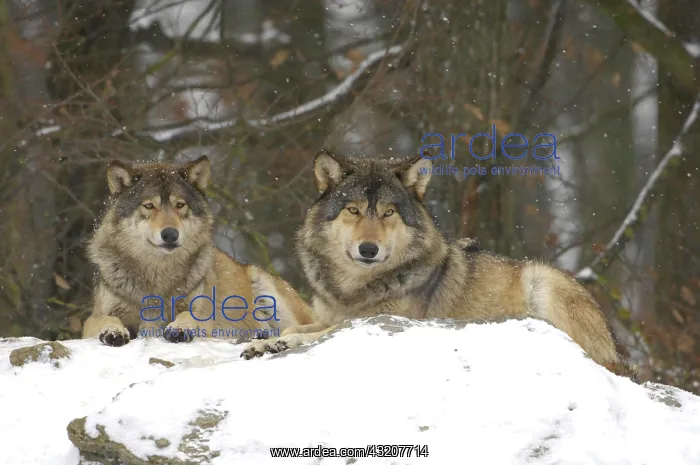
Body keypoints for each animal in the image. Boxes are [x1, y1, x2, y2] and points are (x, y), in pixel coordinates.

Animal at [83, 155, 313, 346]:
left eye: (180, 205)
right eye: (149, 206)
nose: (170, 234)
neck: (158, 273)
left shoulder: (201, 314)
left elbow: (190, 316)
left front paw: (180, 327)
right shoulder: (94, 319)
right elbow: (106, 318)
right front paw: (113, 331)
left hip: (266, 290)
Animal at [241, 151, 634, 377]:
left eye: (388, 213)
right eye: (353, 210)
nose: (368, 249)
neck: (356, 289)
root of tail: (619, 352)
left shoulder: (377, 320)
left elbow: (319, 334)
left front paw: (283, 343)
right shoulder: (329, 314)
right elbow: (299, 327)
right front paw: (266, 343)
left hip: (543, 280)